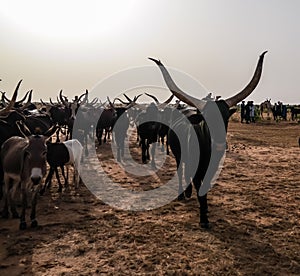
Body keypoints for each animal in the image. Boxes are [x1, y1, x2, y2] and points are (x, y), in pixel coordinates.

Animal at [149, 50, 268, 227]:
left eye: (225, 118)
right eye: (207, 119)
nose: (219, 145)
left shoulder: (212, 167)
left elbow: (204, 186)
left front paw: (205, 212)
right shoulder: (196, 166)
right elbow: (198, 187)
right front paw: (203, 219)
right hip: (179, 155)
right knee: (180, 171)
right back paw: (182, 194)